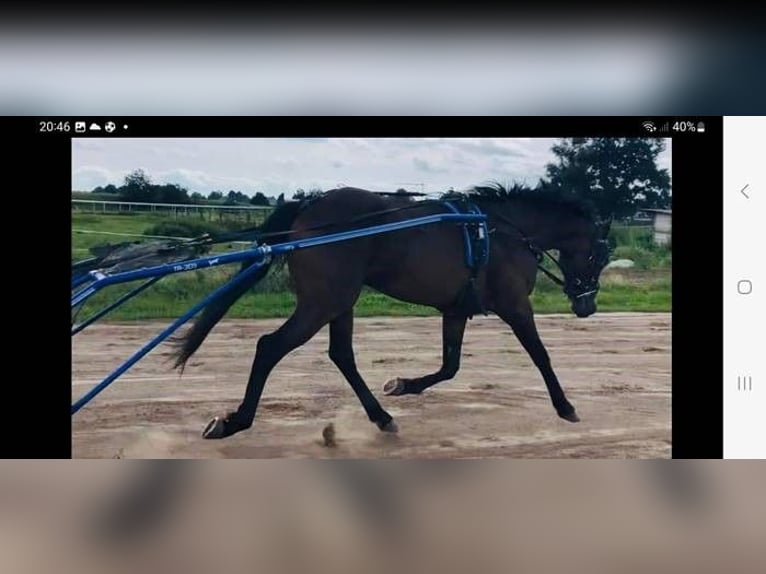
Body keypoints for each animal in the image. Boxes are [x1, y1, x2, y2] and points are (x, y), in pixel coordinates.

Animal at [174, 184, 612, 440]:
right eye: (601, 254)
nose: (587, 304)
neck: (501, 231)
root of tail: (310, 205)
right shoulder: (514, 304)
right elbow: (540, 355)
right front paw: (566, 407)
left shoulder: (456, 308)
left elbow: (450, 366)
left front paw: (403, 384)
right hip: (324, 302)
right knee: (269, 347)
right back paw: (235, 421)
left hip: (338, 302)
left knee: (341, 355)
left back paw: (381, 416)